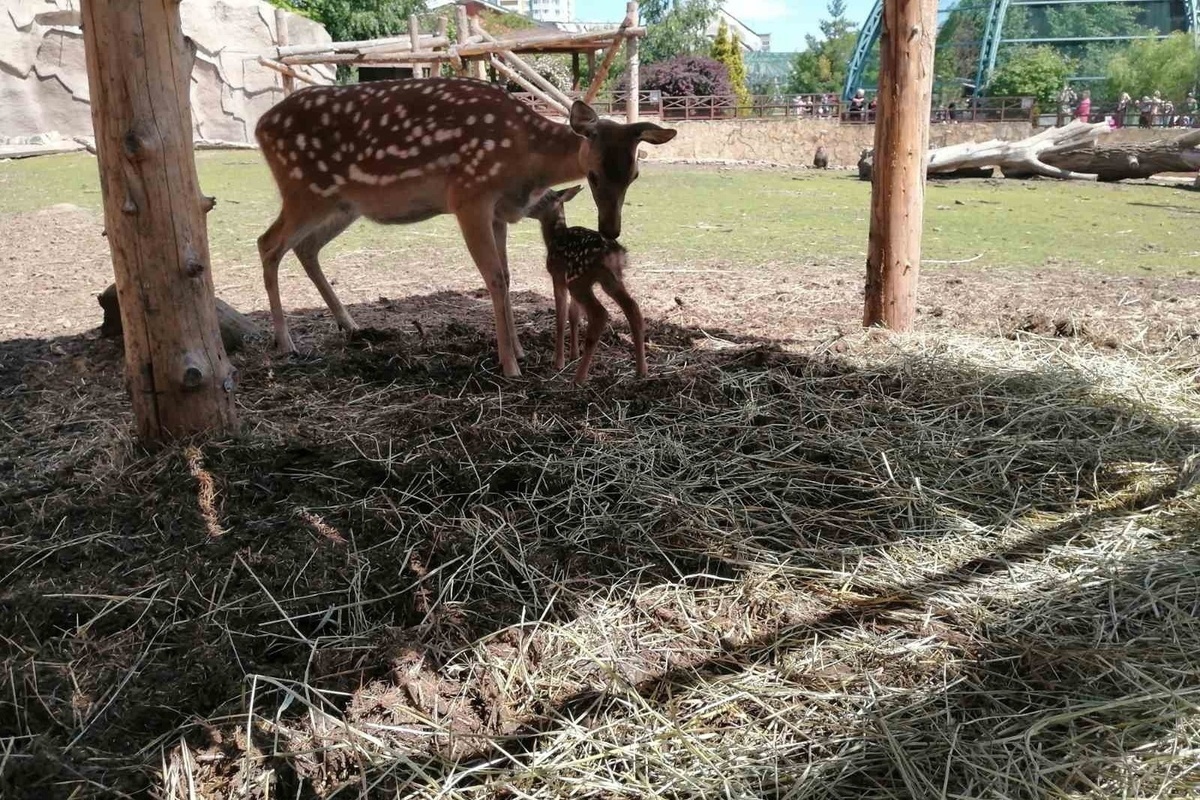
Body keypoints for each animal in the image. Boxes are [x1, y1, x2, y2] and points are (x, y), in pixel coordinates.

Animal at [254, 74, 681, 376]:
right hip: (304, 190)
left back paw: (350, 325)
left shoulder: (497, 212)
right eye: (593, 175)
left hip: (342, 205)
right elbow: (493, 276)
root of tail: (259, 126)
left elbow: (506, 276)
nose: (610, 230)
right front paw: (510, 366)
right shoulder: (469, 196)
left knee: (304, 247)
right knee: (267, 242)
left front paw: (519, 349)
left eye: (635, 174)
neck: (524, 160)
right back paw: (285, 342)